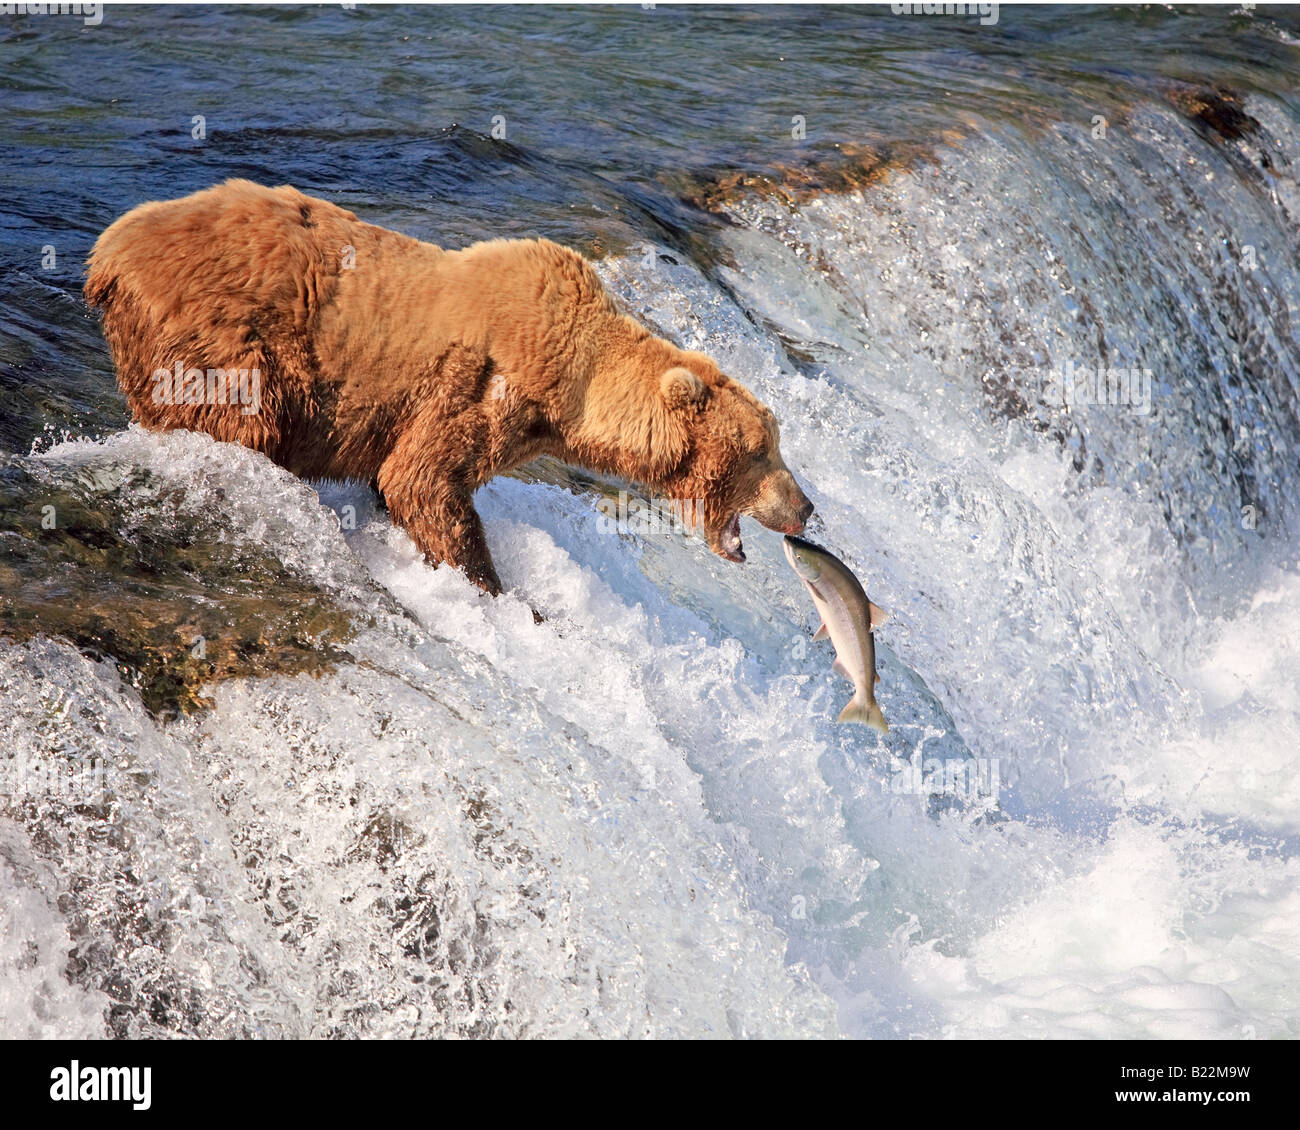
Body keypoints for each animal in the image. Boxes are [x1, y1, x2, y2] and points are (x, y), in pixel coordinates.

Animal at [84, 179, 813, 596]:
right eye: (761, 452)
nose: (806, 507)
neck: (571, 389)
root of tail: (106, 252)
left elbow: (403, 481)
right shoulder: (480, 388)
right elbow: (423, 480)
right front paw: (505, 595)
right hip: (223, 332)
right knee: (243, 418)